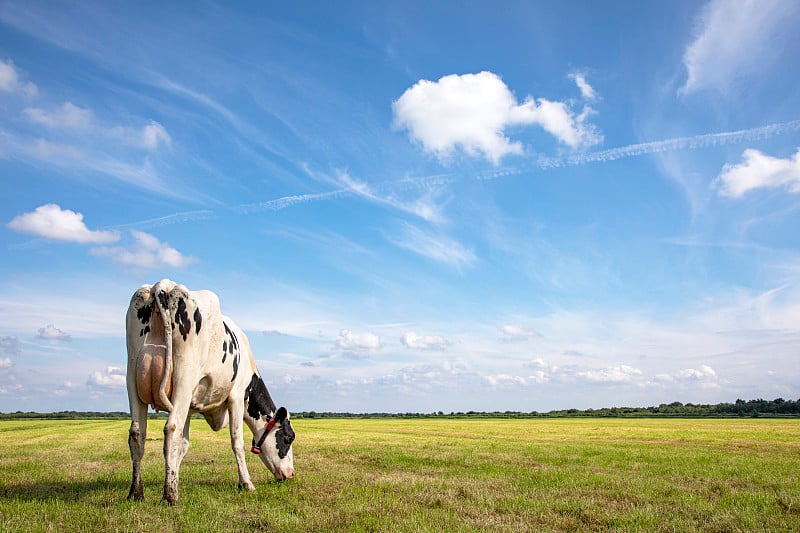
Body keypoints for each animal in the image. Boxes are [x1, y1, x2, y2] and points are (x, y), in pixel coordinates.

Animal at [126, 278, 296, 502]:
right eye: (288, 438)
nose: (291, 473)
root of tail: (164, 285)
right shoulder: (236, 397)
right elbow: (237, 442)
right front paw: (246, 483)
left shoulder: (190, 407)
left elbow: (183, 445)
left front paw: (175, 476)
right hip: (183, 377)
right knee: (171, 428)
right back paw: (170, 496)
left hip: (132, 376)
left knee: (138, 433)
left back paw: (136, 493)